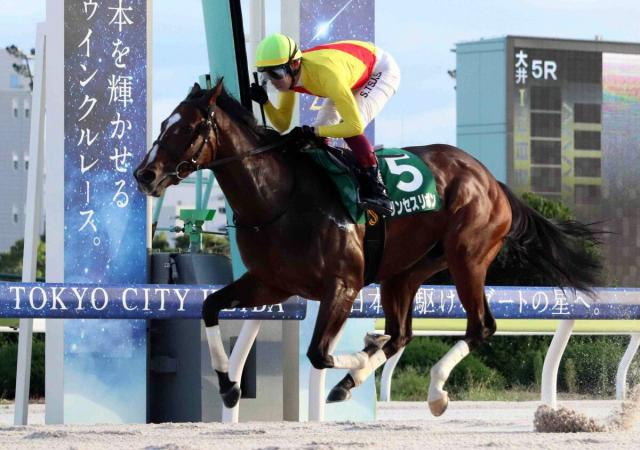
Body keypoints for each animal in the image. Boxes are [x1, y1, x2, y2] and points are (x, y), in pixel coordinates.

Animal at [134, 79, 602, 416]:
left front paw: (359, 359)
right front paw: (229, 386)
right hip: (406, 272)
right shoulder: (272, 284)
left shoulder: (342, 285)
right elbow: (210, 306)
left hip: (467, 258)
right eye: (162, 124)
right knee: (403, 334)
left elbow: (319, 354)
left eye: (186, 127)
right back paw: (365, 378)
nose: (145, 174)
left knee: (480, 327)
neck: (278, 196)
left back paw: (433, 391)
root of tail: (492, 180)